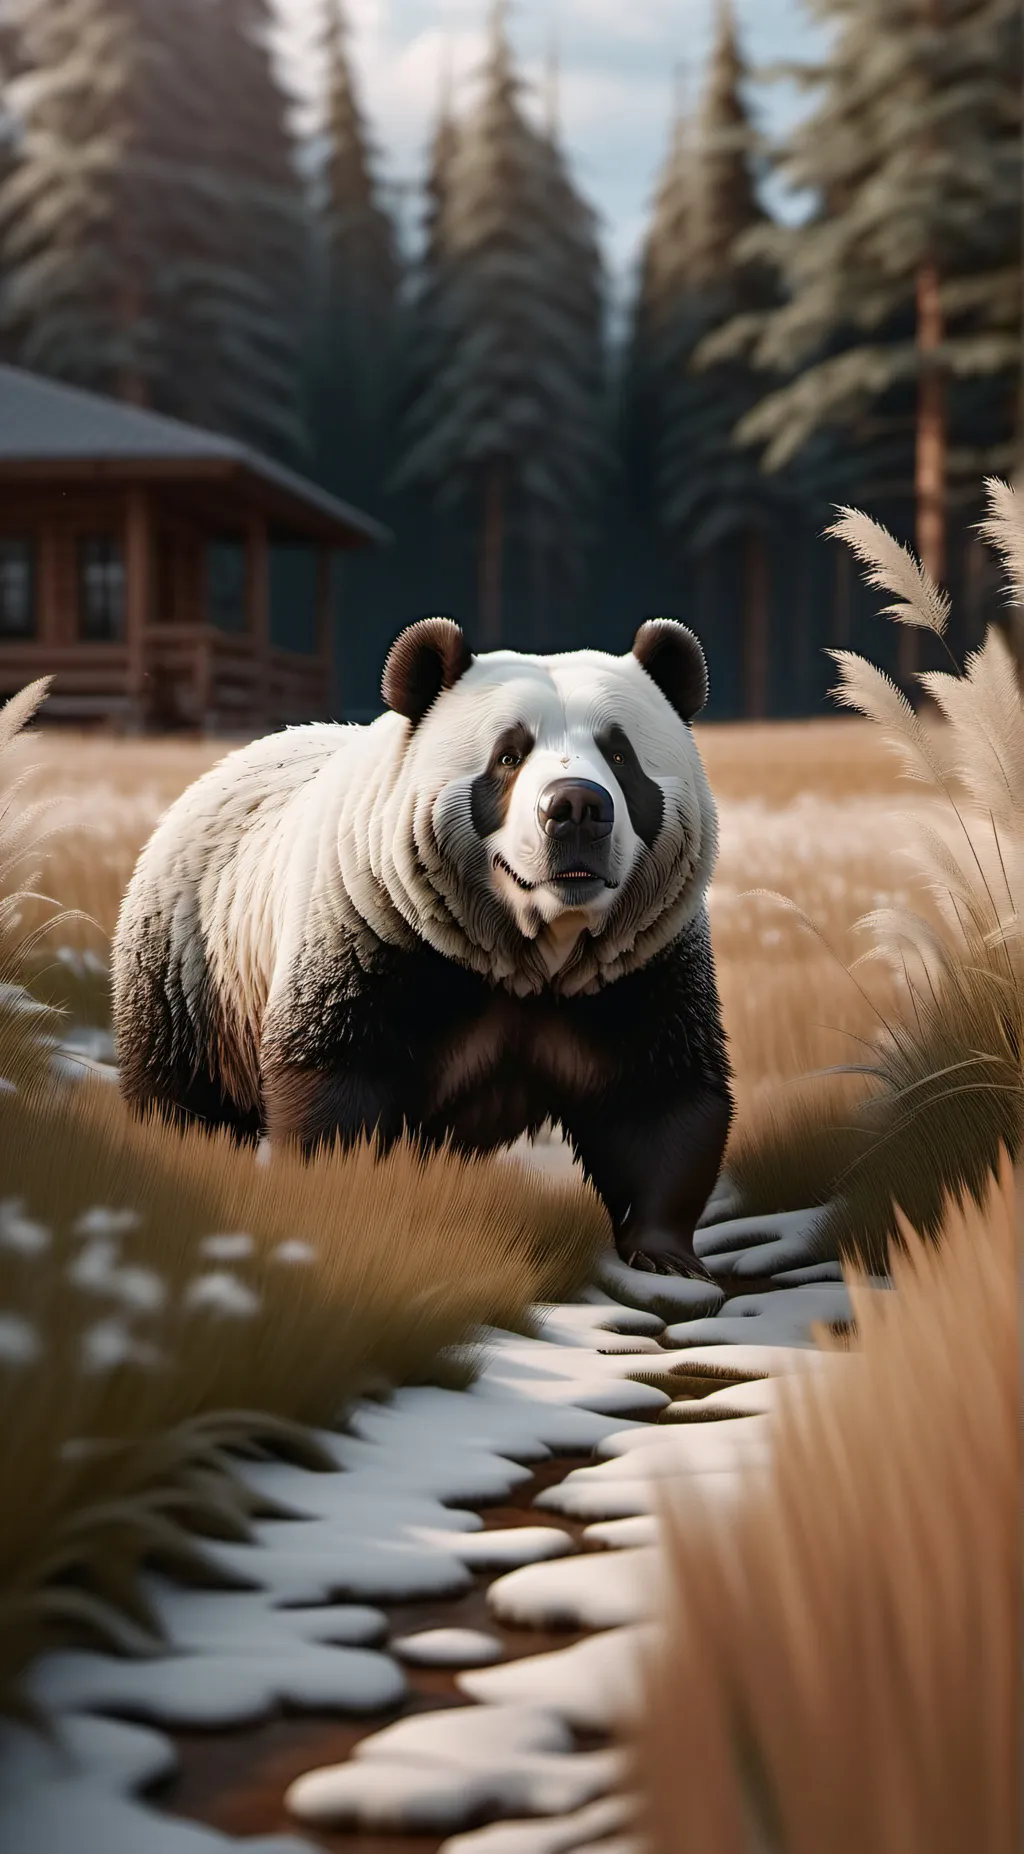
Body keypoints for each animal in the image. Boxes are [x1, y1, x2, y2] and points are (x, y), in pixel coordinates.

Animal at [111, 616, 732, 1278]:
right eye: (508, 756)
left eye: (620, 754)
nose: (575, 807)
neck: (533, 949)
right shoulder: (378, 930)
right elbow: (334, 1079)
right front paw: (336, 1206)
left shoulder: (638, 964)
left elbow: (660, 1098)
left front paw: (667, 1255)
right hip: (194, 952)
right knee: (179, 1088)